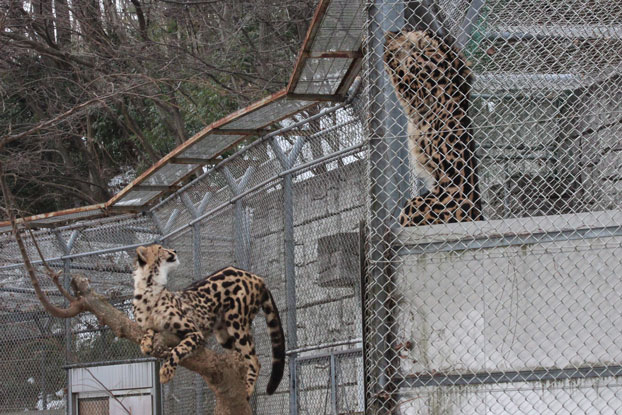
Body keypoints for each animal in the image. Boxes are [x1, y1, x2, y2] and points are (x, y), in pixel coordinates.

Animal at [134, 245, 288, 398]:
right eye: (161, 248)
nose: (174, 251)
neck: (150, 288)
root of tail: (256, 276)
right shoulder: (151, 326)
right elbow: (148, 331)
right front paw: (145, 344)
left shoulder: (195, 332)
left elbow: (178, 349)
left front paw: (166, 372)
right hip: (224, 336)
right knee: (241, 358)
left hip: (236, 322)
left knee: (255, 361)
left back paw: (248, 389)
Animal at [386, 30, 482, 226]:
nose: (392, 32)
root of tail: (477, 214)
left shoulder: (416, 91)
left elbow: (398, 72)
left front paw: (388, 49)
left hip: (424, 203)